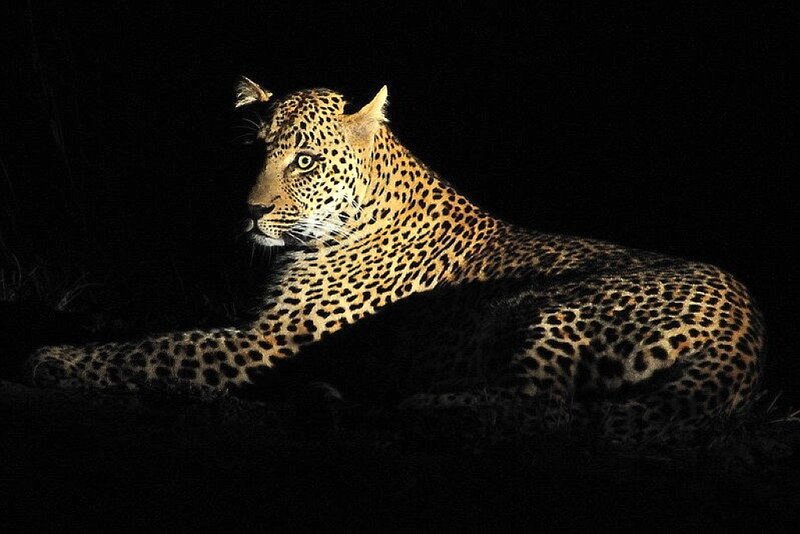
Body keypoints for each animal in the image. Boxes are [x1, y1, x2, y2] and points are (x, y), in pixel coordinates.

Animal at [22, 77, 765, 441]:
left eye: (305, 161)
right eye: (251, 155)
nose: (251, 212)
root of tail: (747, 333)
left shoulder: (269, 342)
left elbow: (157, 349)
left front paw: (52, 361)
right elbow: (149, 333)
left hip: (552, 306)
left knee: (550, 409)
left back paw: (414, 406)